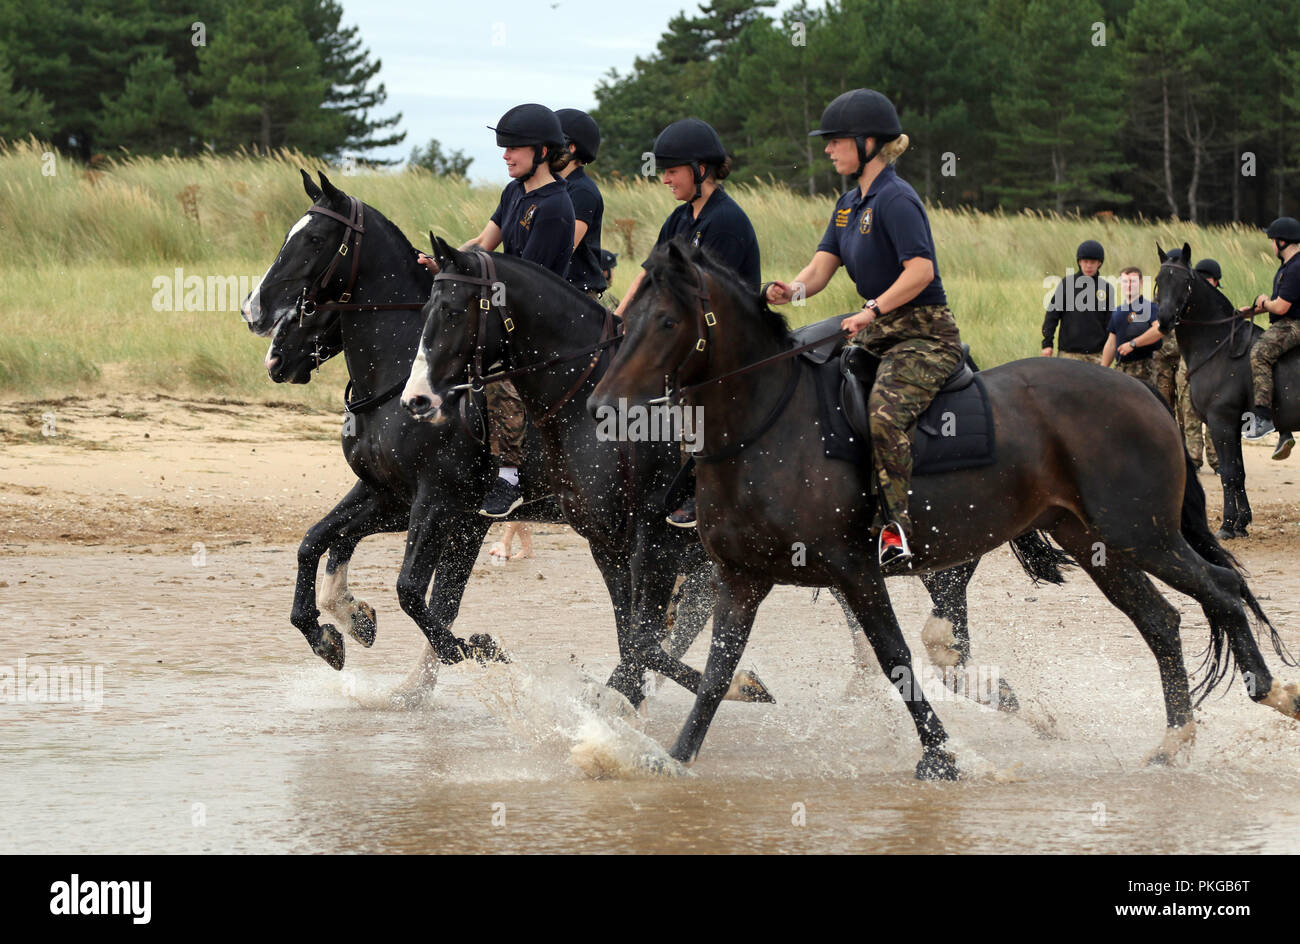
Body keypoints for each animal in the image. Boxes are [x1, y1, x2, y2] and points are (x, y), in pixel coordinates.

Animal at [403, 240, 1076, 712]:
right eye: (425, 308)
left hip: (932, 549)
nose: (417, 400)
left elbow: (642, 636)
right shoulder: (611, 543)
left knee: (947, 622)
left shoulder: (645, 540)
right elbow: (638, 634)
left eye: (454, 310)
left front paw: (725, 687)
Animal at [1159, 244, 1300, 540]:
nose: (1163, 320)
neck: (1219, 346)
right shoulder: (1233, 425)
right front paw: (1242, 523)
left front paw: (1226, 525)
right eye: (1159, 280)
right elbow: (1239, 472)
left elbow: (1229, 473)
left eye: (1184, 282)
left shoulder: (1220, 421)